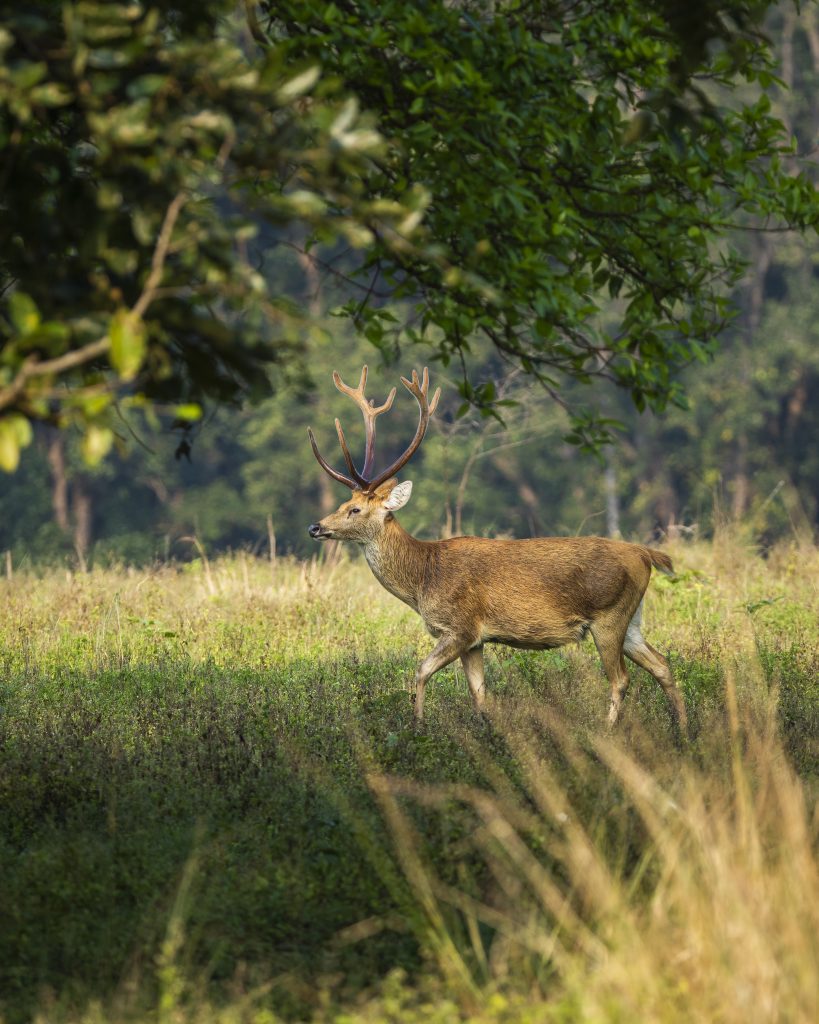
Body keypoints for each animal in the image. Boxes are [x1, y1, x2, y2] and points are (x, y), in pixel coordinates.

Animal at [311, 368, 687, 737]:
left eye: (355, 510)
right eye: (343, 504)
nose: (315, 527)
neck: (423, 579)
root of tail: (644, 554)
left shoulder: (460, 627)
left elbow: (421, 671)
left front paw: (418, 729)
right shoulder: (476, 641)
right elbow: (479, 694)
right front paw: (490, 736)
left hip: (608, 615)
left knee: (620, 678)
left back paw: (607, 732)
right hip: (632, 617)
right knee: (662, 664)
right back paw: (682, 729)